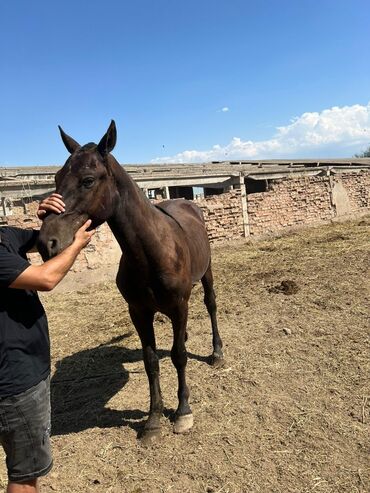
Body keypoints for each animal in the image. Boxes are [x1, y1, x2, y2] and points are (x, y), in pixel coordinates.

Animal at [38, 121, 223, 440]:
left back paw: (216, 352)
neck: (151, 253)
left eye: (88, 180)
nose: (46, 242)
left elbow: (179, 356)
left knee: (210, 304)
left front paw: (182, 412)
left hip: (206, 273)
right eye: (58, 177)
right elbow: (151, 362)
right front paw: (153, 419)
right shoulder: (139, 312)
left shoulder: (179, 306)